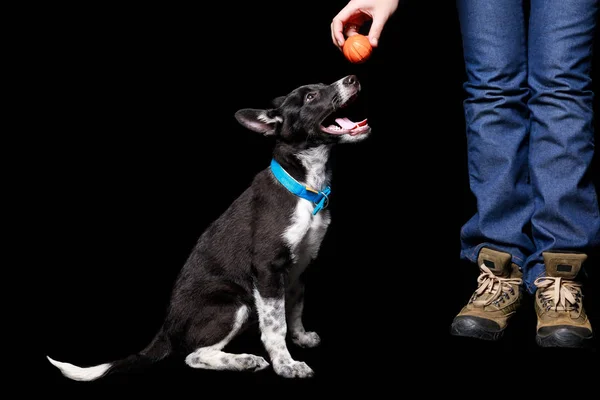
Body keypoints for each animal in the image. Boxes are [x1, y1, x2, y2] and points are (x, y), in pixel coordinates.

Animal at [47, 76, 370, 382]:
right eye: (311, 96)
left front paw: (301, 337)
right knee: (194, 355)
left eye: (323, 84)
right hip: (234, 304)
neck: (304, 186)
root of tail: (166, 328)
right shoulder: (268, 268)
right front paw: (287, 365)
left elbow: (295, 308)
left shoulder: (299, 267)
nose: (352, 78)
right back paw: (243, 361)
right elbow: (275, 325)